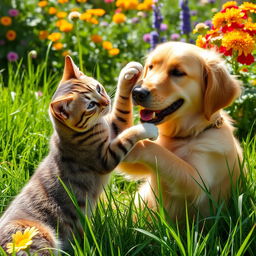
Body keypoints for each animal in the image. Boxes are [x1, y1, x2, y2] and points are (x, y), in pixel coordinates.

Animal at [0, 56, 158, 254]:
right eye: (90, 105)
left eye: (98, 88)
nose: (105, 102)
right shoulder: (105, 157)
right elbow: (128, 135)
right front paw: (148, 128)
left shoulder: (114, 127)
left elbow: (122, 110)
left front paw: (129, 72)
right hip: (37, 238)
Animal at [117, 42, 243, 220]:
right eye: (151, 67)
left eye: (177, 73)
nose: (138, 92)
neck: (186, 135)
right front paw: (127, 77)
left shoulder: (198, 182)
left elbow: (156, 150)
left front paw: (129, 146)